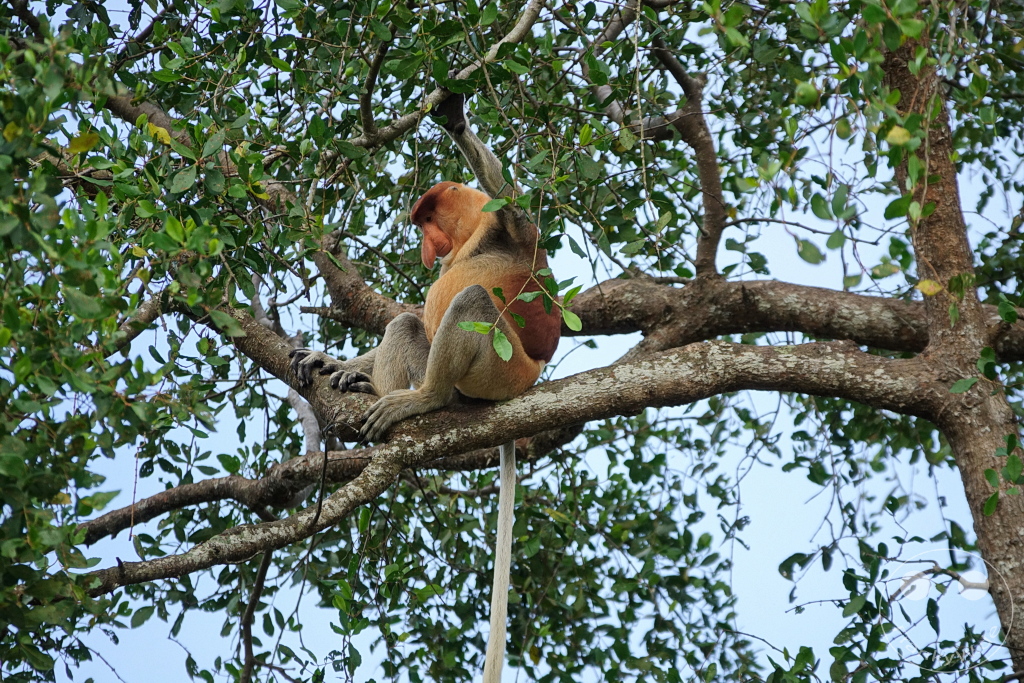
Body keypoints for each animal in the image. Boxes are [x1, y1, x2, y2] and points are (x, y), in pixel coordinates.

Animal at [289, 90, 560, 683]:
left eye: (426, 218)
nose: (424, 247)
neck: (471, 238)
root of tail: (526, 384)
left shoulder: (511, 232)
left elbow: (513, 207)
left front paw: (455, 116)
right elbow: (415, 313)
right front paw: (330, 359)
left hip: (500, 366)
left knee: (471, 301)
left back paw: (422, 400)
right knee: (410, 324)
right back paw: (369, 393)